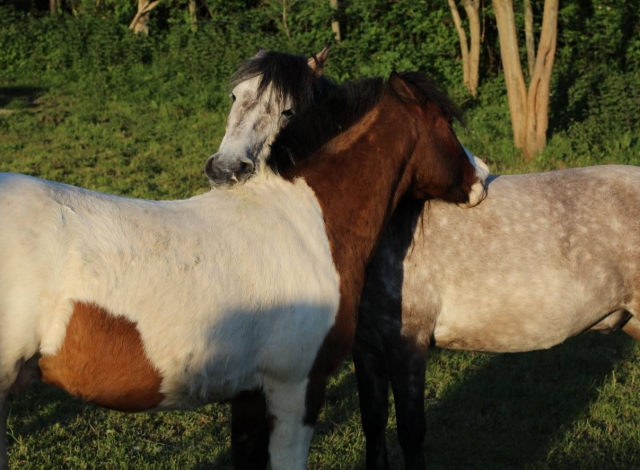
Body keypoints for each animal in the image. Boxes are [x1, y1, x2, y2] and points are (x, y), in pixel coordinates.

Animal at [203, 53, 640, 470]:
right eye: (236, 95)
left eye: (288, 111)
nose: (224, 170)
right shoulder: (367, 348)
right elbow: (373, 426)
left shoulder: (407, 343)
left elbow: (411, 433)